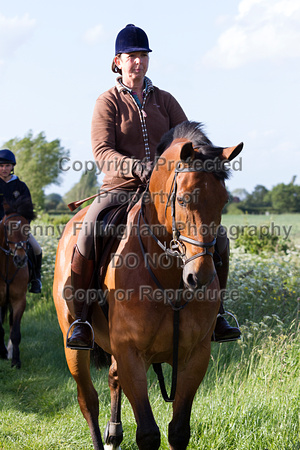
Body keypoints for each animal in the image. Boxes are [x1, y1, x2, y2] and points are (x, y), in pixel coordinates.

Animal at [52, 121, 243, 448]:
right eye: (183, 199)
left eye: (224, 201)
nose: (200, 277)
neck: (169, 279)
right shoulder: (131, 353)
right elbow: (148, 433)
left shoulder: (195, 356)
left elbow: (178, 431)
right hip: (74, 346)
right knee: (88, 400)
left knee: (113, 379)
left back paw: (114, 434)